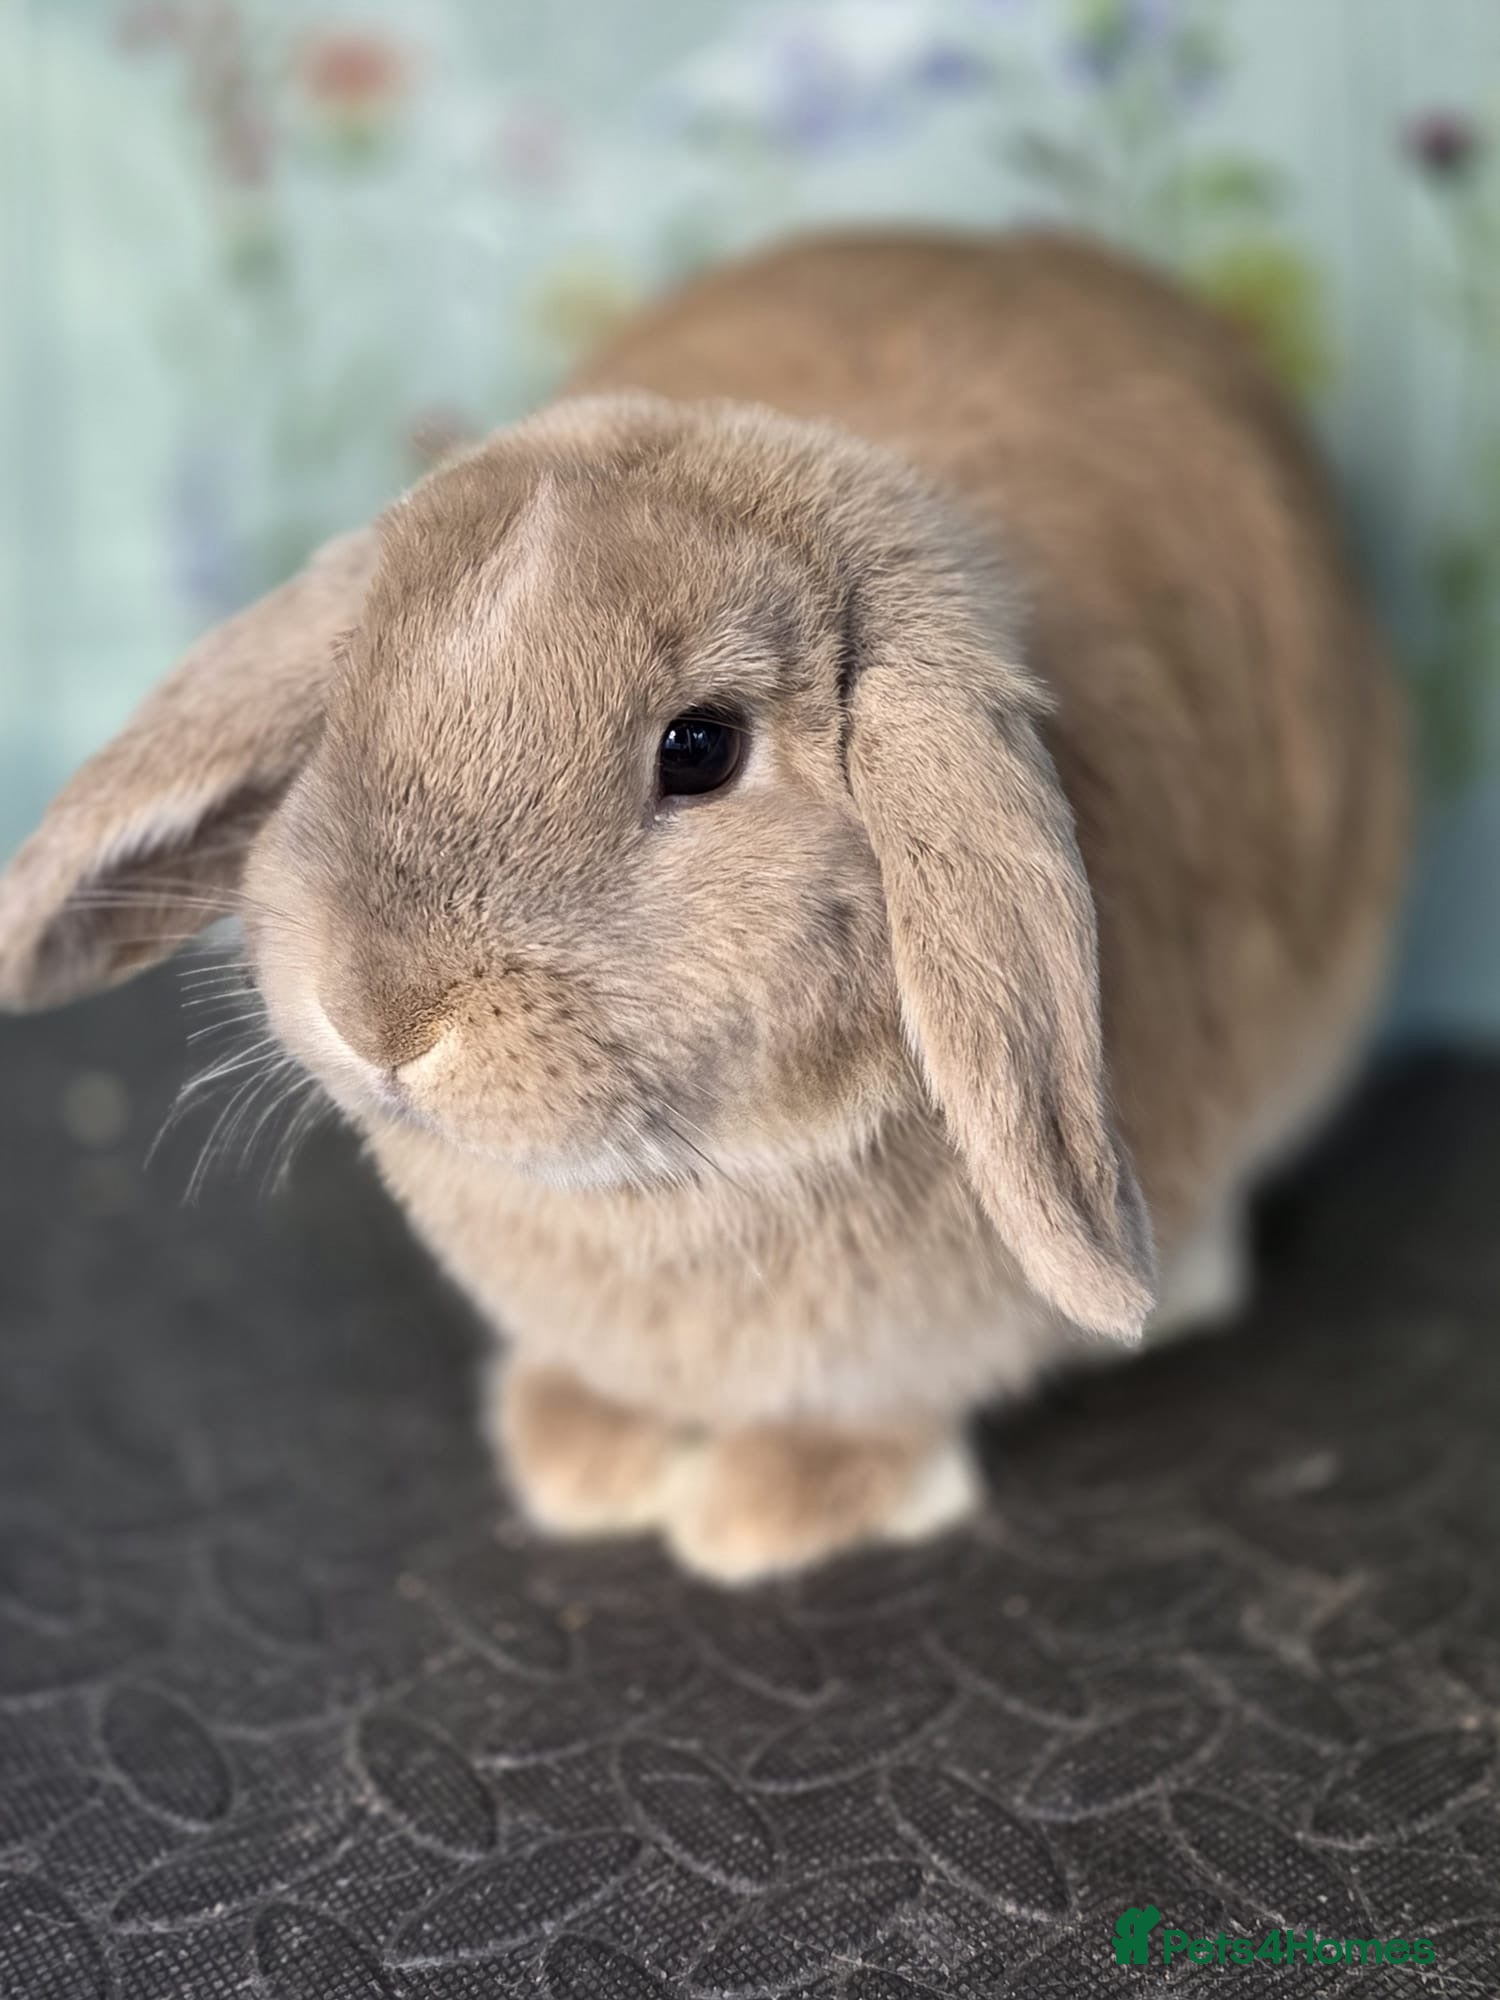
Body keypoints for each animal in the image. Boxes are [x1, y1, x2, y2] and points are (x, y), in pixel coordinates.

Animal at [0, 231, 1409, 1582]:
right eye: (345, 697)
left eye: (699, 747)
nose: (379, 1014)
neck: (670, 1185)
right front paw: (581, 1458)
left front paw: (773, 1510)